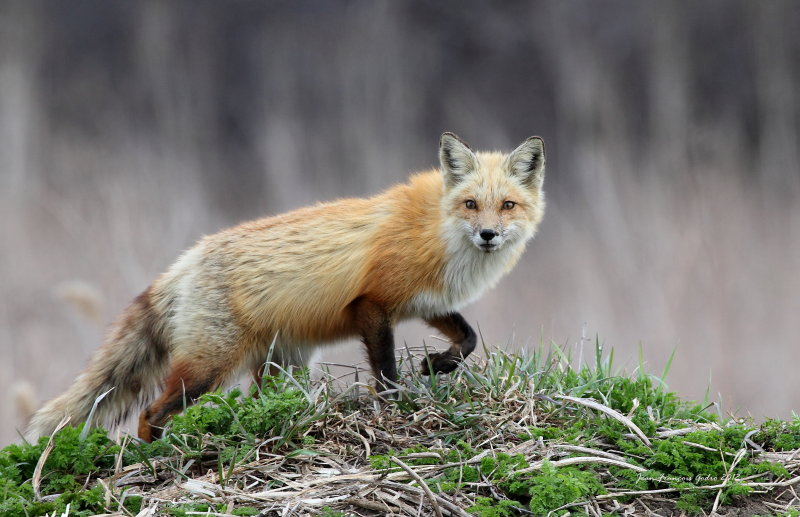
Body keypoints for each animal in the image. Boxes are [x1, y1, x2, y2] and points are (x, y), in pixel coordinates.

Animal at [28, 132, 548, 440]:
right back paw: (155, 453)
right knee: (147, 414)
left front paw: (437, 364)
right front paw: (397, 408)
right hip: (206, 370)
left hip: (281, 366)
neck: (435, 232)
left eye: (507, 205)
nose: (488, 235)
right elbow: (385, 373)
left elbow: (469, 338)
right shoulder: (373, 304)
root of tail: (185, 261)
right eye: (470, 204)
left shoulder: (426, 302)